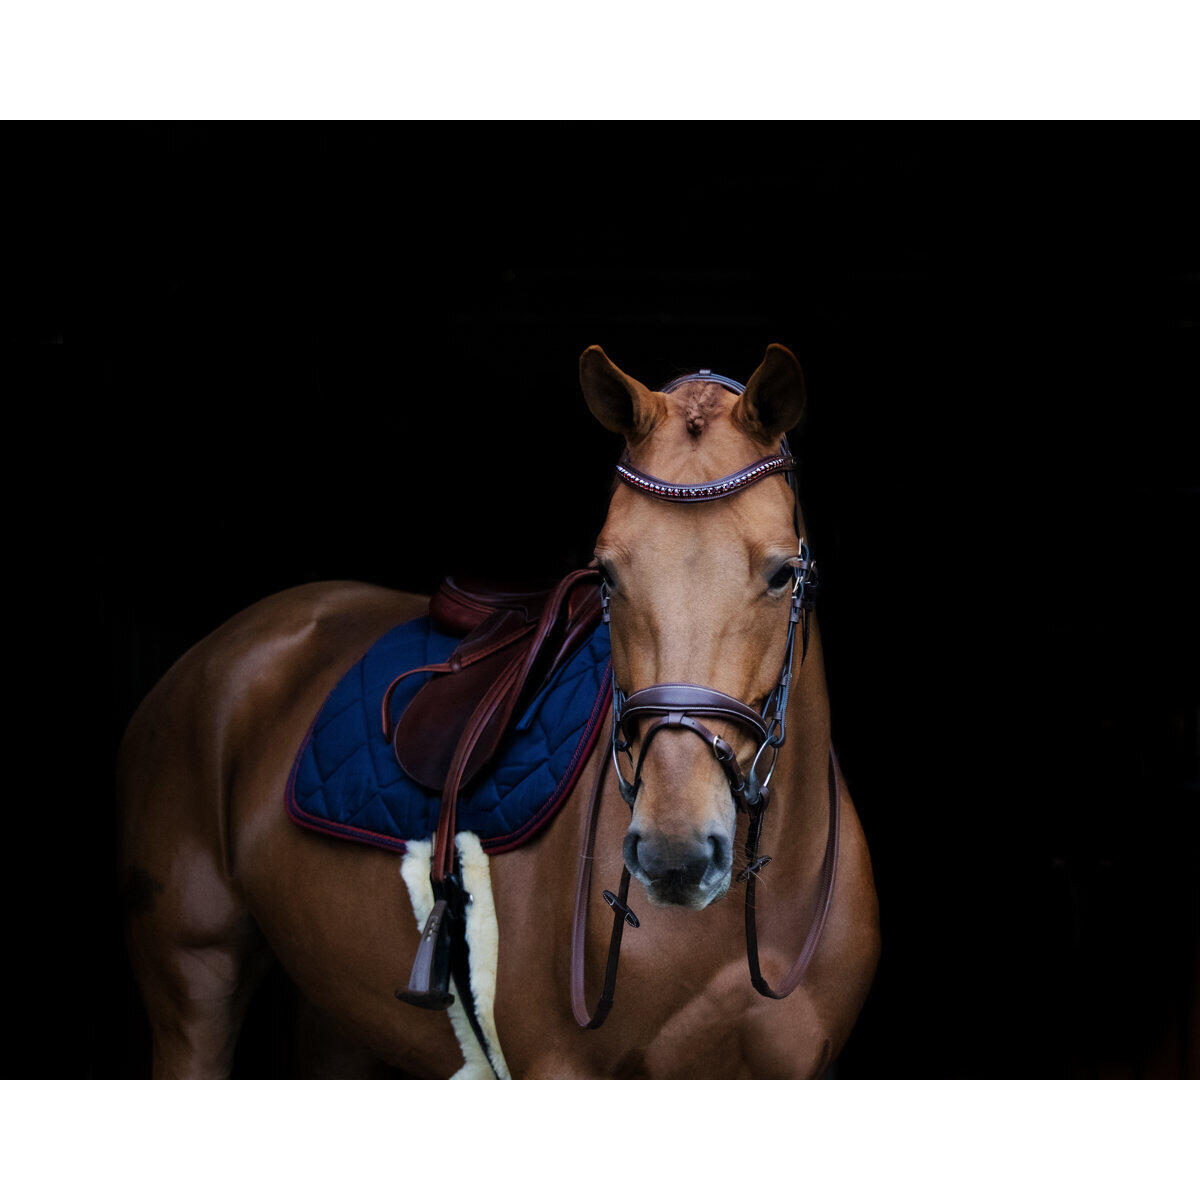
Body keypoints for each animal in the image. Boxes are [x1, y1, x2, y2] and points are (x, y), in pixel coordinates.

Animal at [118, 344, 880, 1078]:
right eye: (607, 573)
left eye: (781, 573)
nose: (676, 852)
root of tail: (220, 651)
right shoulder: (557, 1068)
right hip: (194, 982)